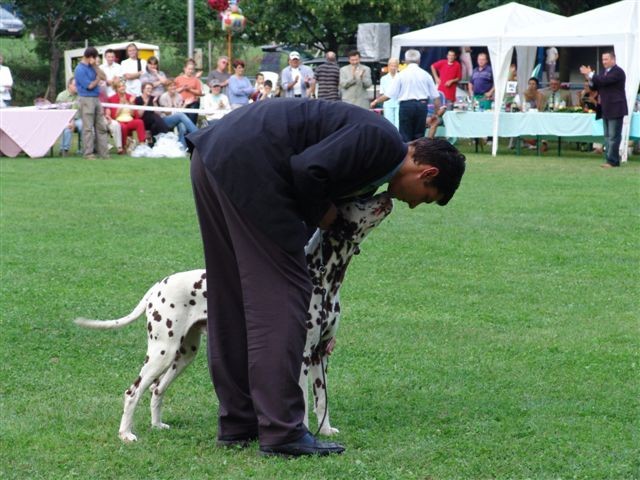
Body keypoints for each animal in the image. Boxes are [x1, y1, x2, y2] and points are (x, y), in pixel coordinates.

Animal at [75, 192, 396, 442]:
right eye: (360, 199)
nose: (386, 194)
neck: (322, 278)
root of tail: (157, 286)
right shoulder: (302, 357)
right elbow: (303, 404)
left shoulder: (321, 355)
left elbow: (321, 402)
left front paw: (326, 431)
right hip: (161, 353)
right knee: (133, 391)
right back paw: (126, 434)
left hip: (184, 355)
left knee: (156, 389)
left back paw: (157, 425)